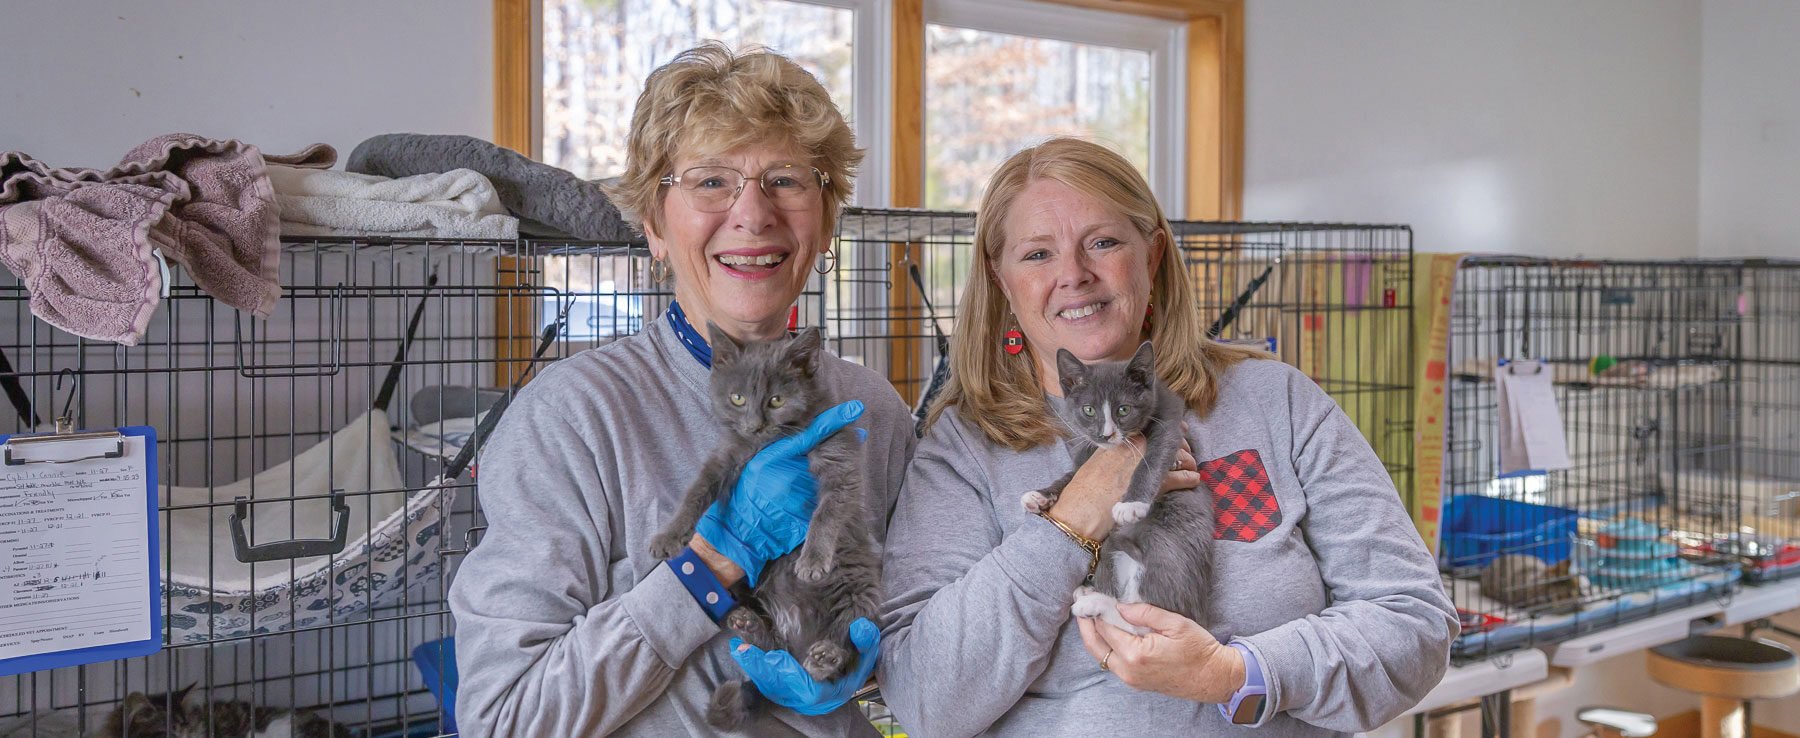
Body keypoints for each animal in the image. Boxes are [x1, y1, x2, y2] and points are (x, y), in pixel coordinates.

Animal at [651, 322, 882, 727]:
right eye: (738, 398)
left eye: (776, 400)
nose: (755, 425)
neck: (768, 446)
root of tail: (799, 641)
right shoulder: (727, 456)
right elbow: (697, 492)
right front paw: (670, 535)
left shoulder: (838, 461)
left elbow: (828, 510)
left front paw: (812, 559)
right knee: (772, 648)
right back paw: (750, 626)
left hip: (861, 591)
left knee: (850, 640)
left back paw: (826, 658)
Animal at [1022, 340, 1216, 633]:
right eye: (1088, 410)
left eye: (1124, 409)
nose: (1106, 434)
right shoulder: (1088, 450)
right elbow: (1073, 475)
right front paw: (1041, 496)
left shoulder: (1169, 423)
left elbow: (1152, 459)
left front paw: (1131, 503)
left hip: (1166, 540)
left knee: (1146, 617)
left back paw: (1093, 603)